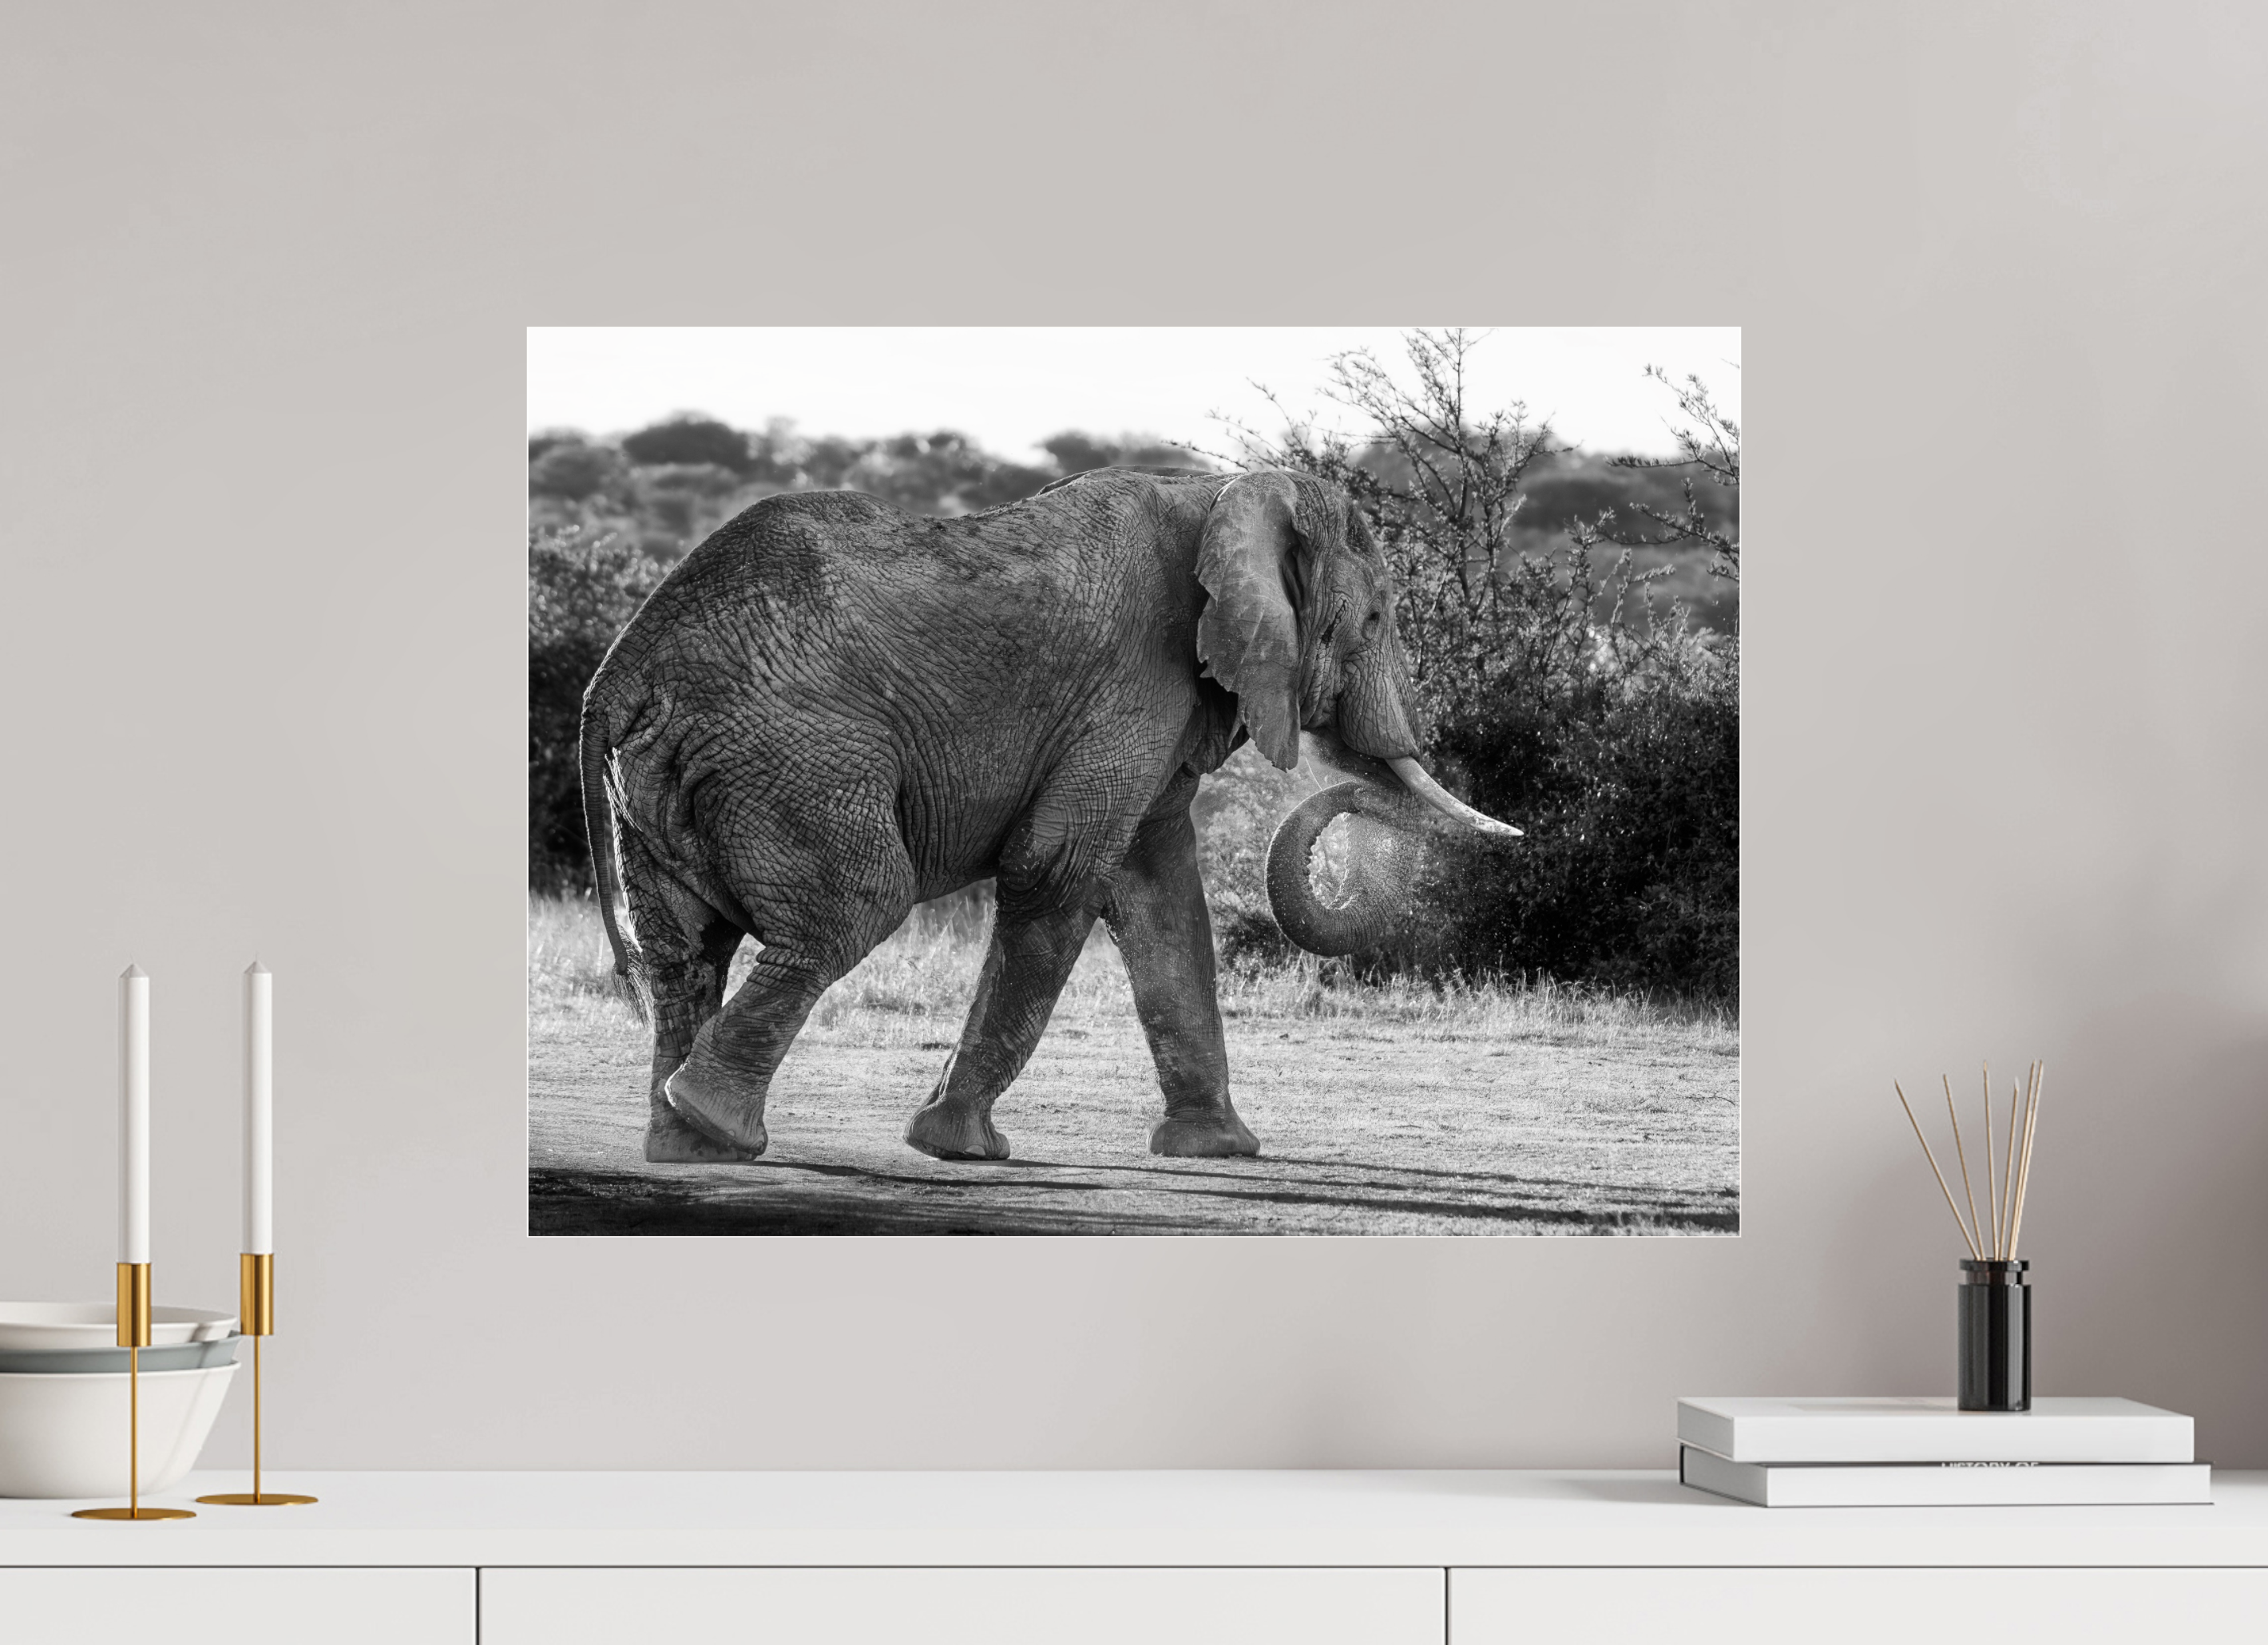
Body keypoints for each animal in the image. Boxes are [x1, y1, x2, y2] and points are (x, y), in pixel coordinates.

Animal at [577, 465, 1520, 1165]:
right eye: (1374, 618)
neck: (1224, 492)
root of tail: (619, 673)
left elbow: (1161, 893)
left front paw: (1219, 1150)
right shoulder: (1136, 678)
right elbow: (1056, 869)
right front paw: (960, 1149)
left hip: (670, 775)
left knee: (683, 949)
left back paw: (686, 1146)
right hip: (793, 756)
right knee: (853, 909)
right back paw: (715, 1124)